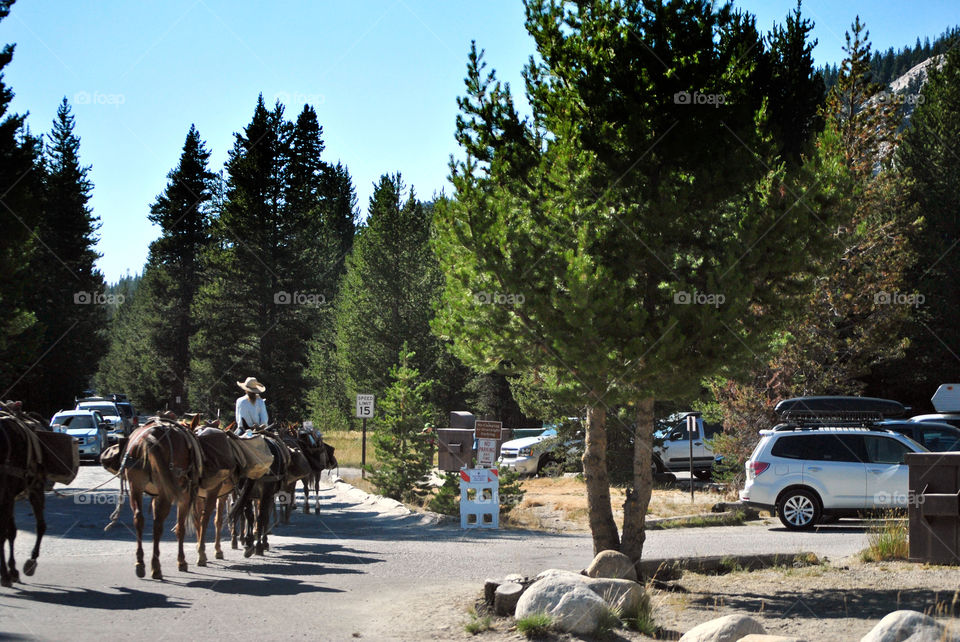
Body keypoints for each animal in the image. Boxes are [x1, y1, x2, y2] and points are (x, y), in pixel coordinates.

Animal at [109, 412, 202, 576]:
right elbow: (181, 528)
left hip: (135, 487)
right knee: (158, 524)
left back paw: (140, 563)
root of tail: (150, 438)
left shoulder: (154, 496)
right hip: (167, 493)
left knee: (139, 518)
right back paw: (156, 567)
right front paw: (182, 561)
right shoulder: (184, 497)